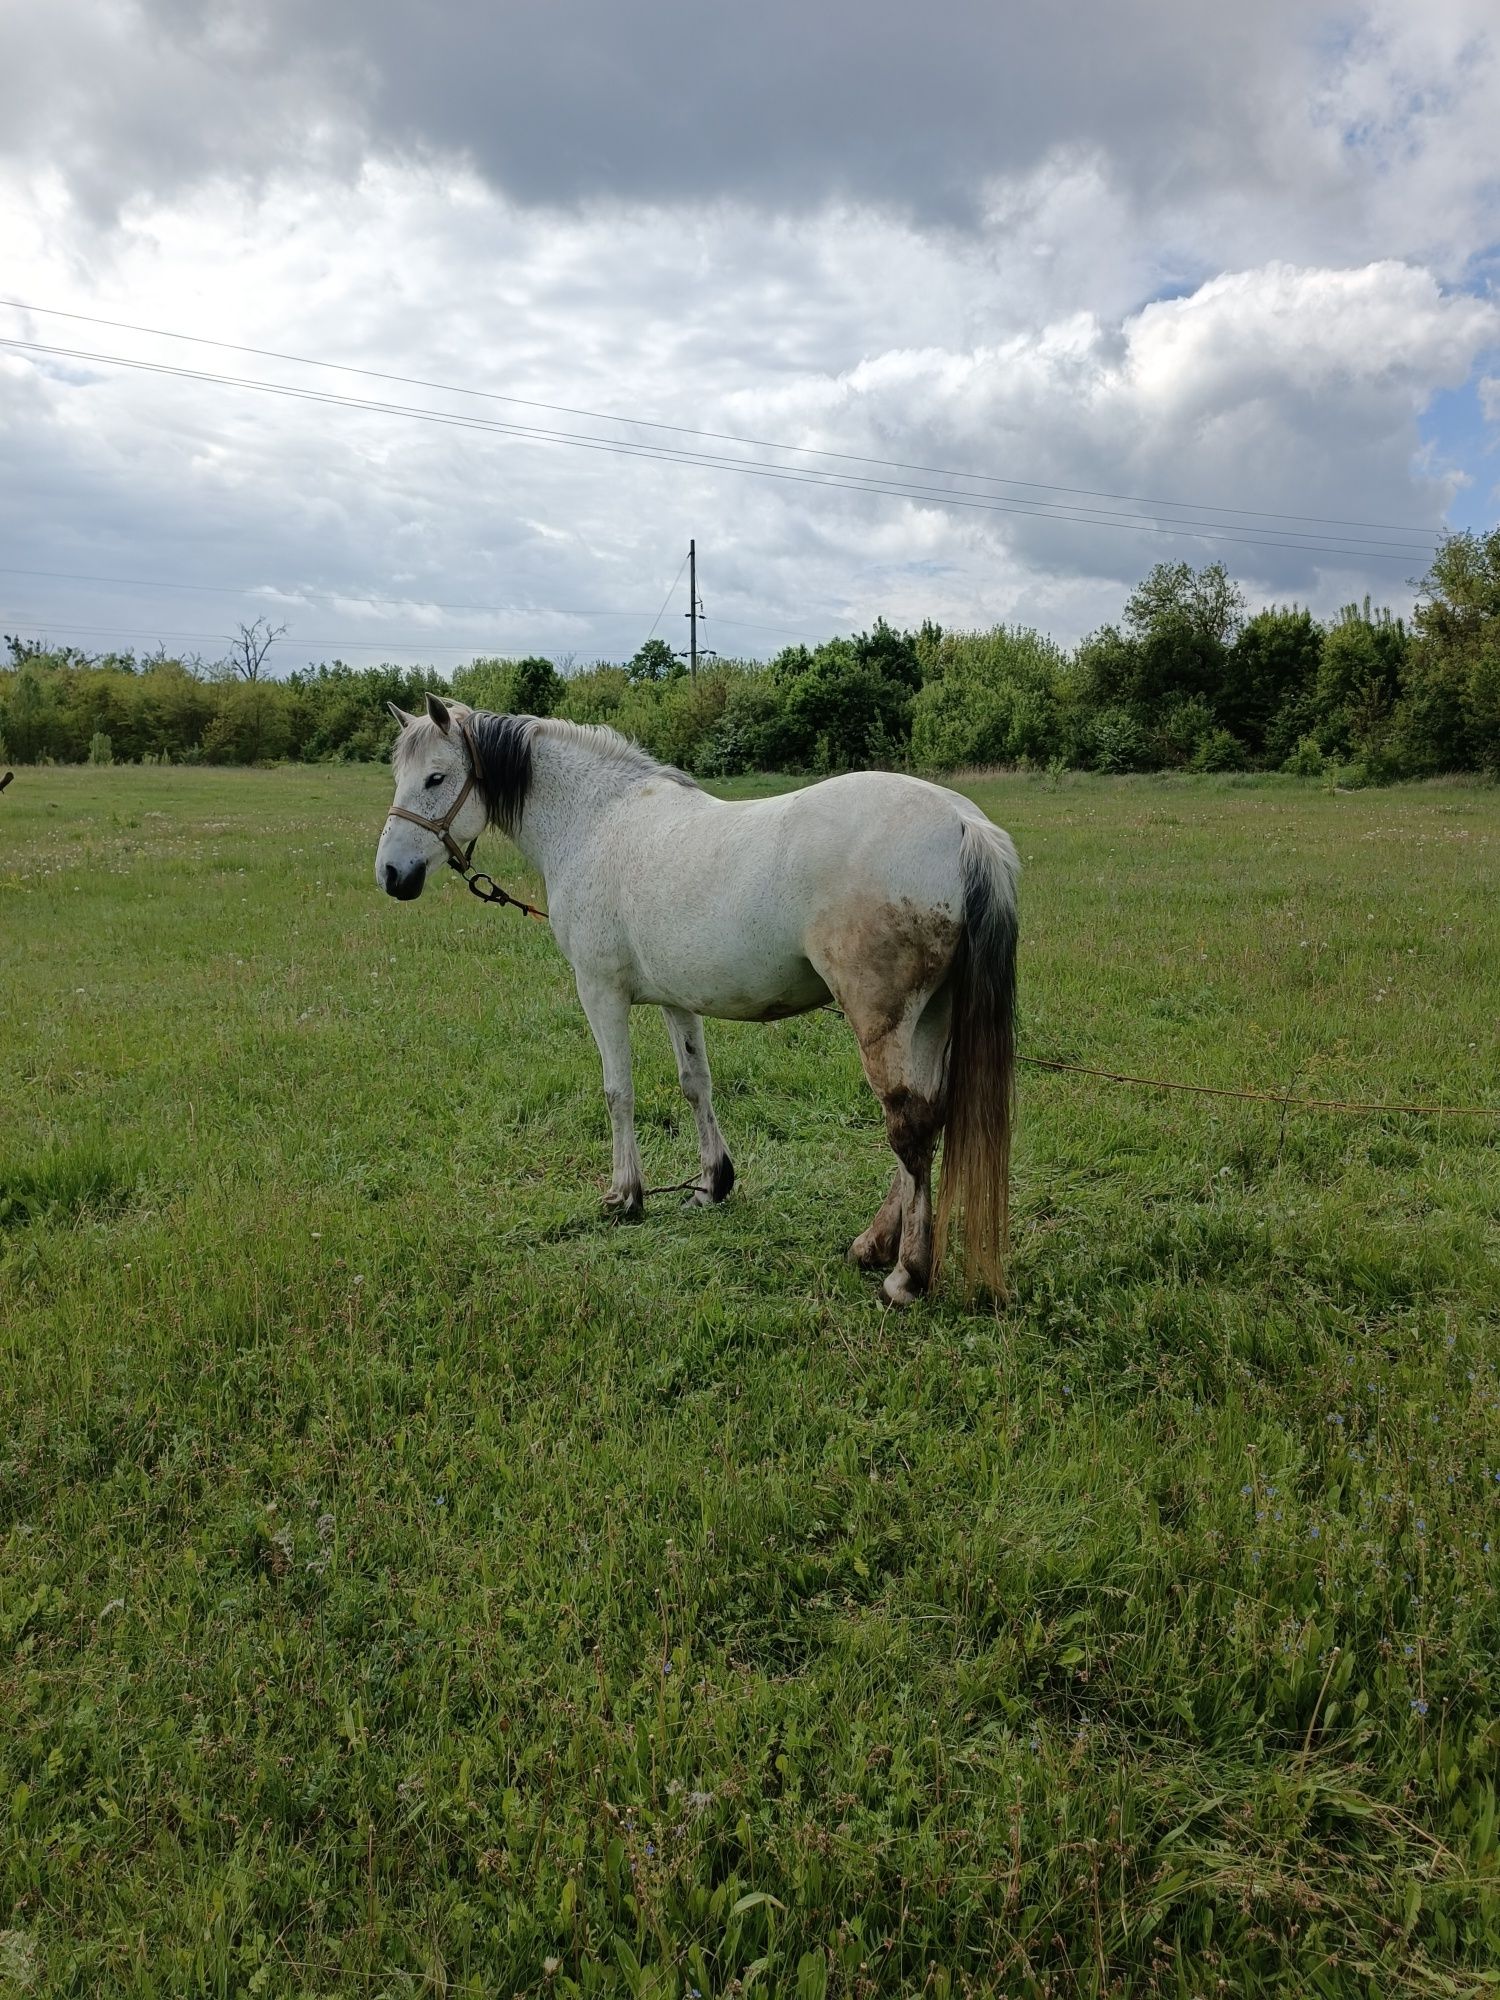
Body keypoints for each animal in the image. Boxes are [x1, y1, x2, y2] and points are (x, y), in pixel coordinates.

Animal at [378, 696, 1024, 1304]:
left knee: (907, 1126)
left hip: (881, 1021)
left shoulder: (600, 990)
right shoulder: (676, 998)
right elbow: (696, 1084)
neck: (597, 822)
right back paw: (873, 1245)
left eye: (435, 778)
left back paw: (906, 1275)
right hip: (931, 1018)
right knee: (927, 1118)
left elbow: (618, 1091)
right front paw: (714, 1183)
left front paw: (626, 1195)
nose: (390, 874)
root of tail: (961, 822)